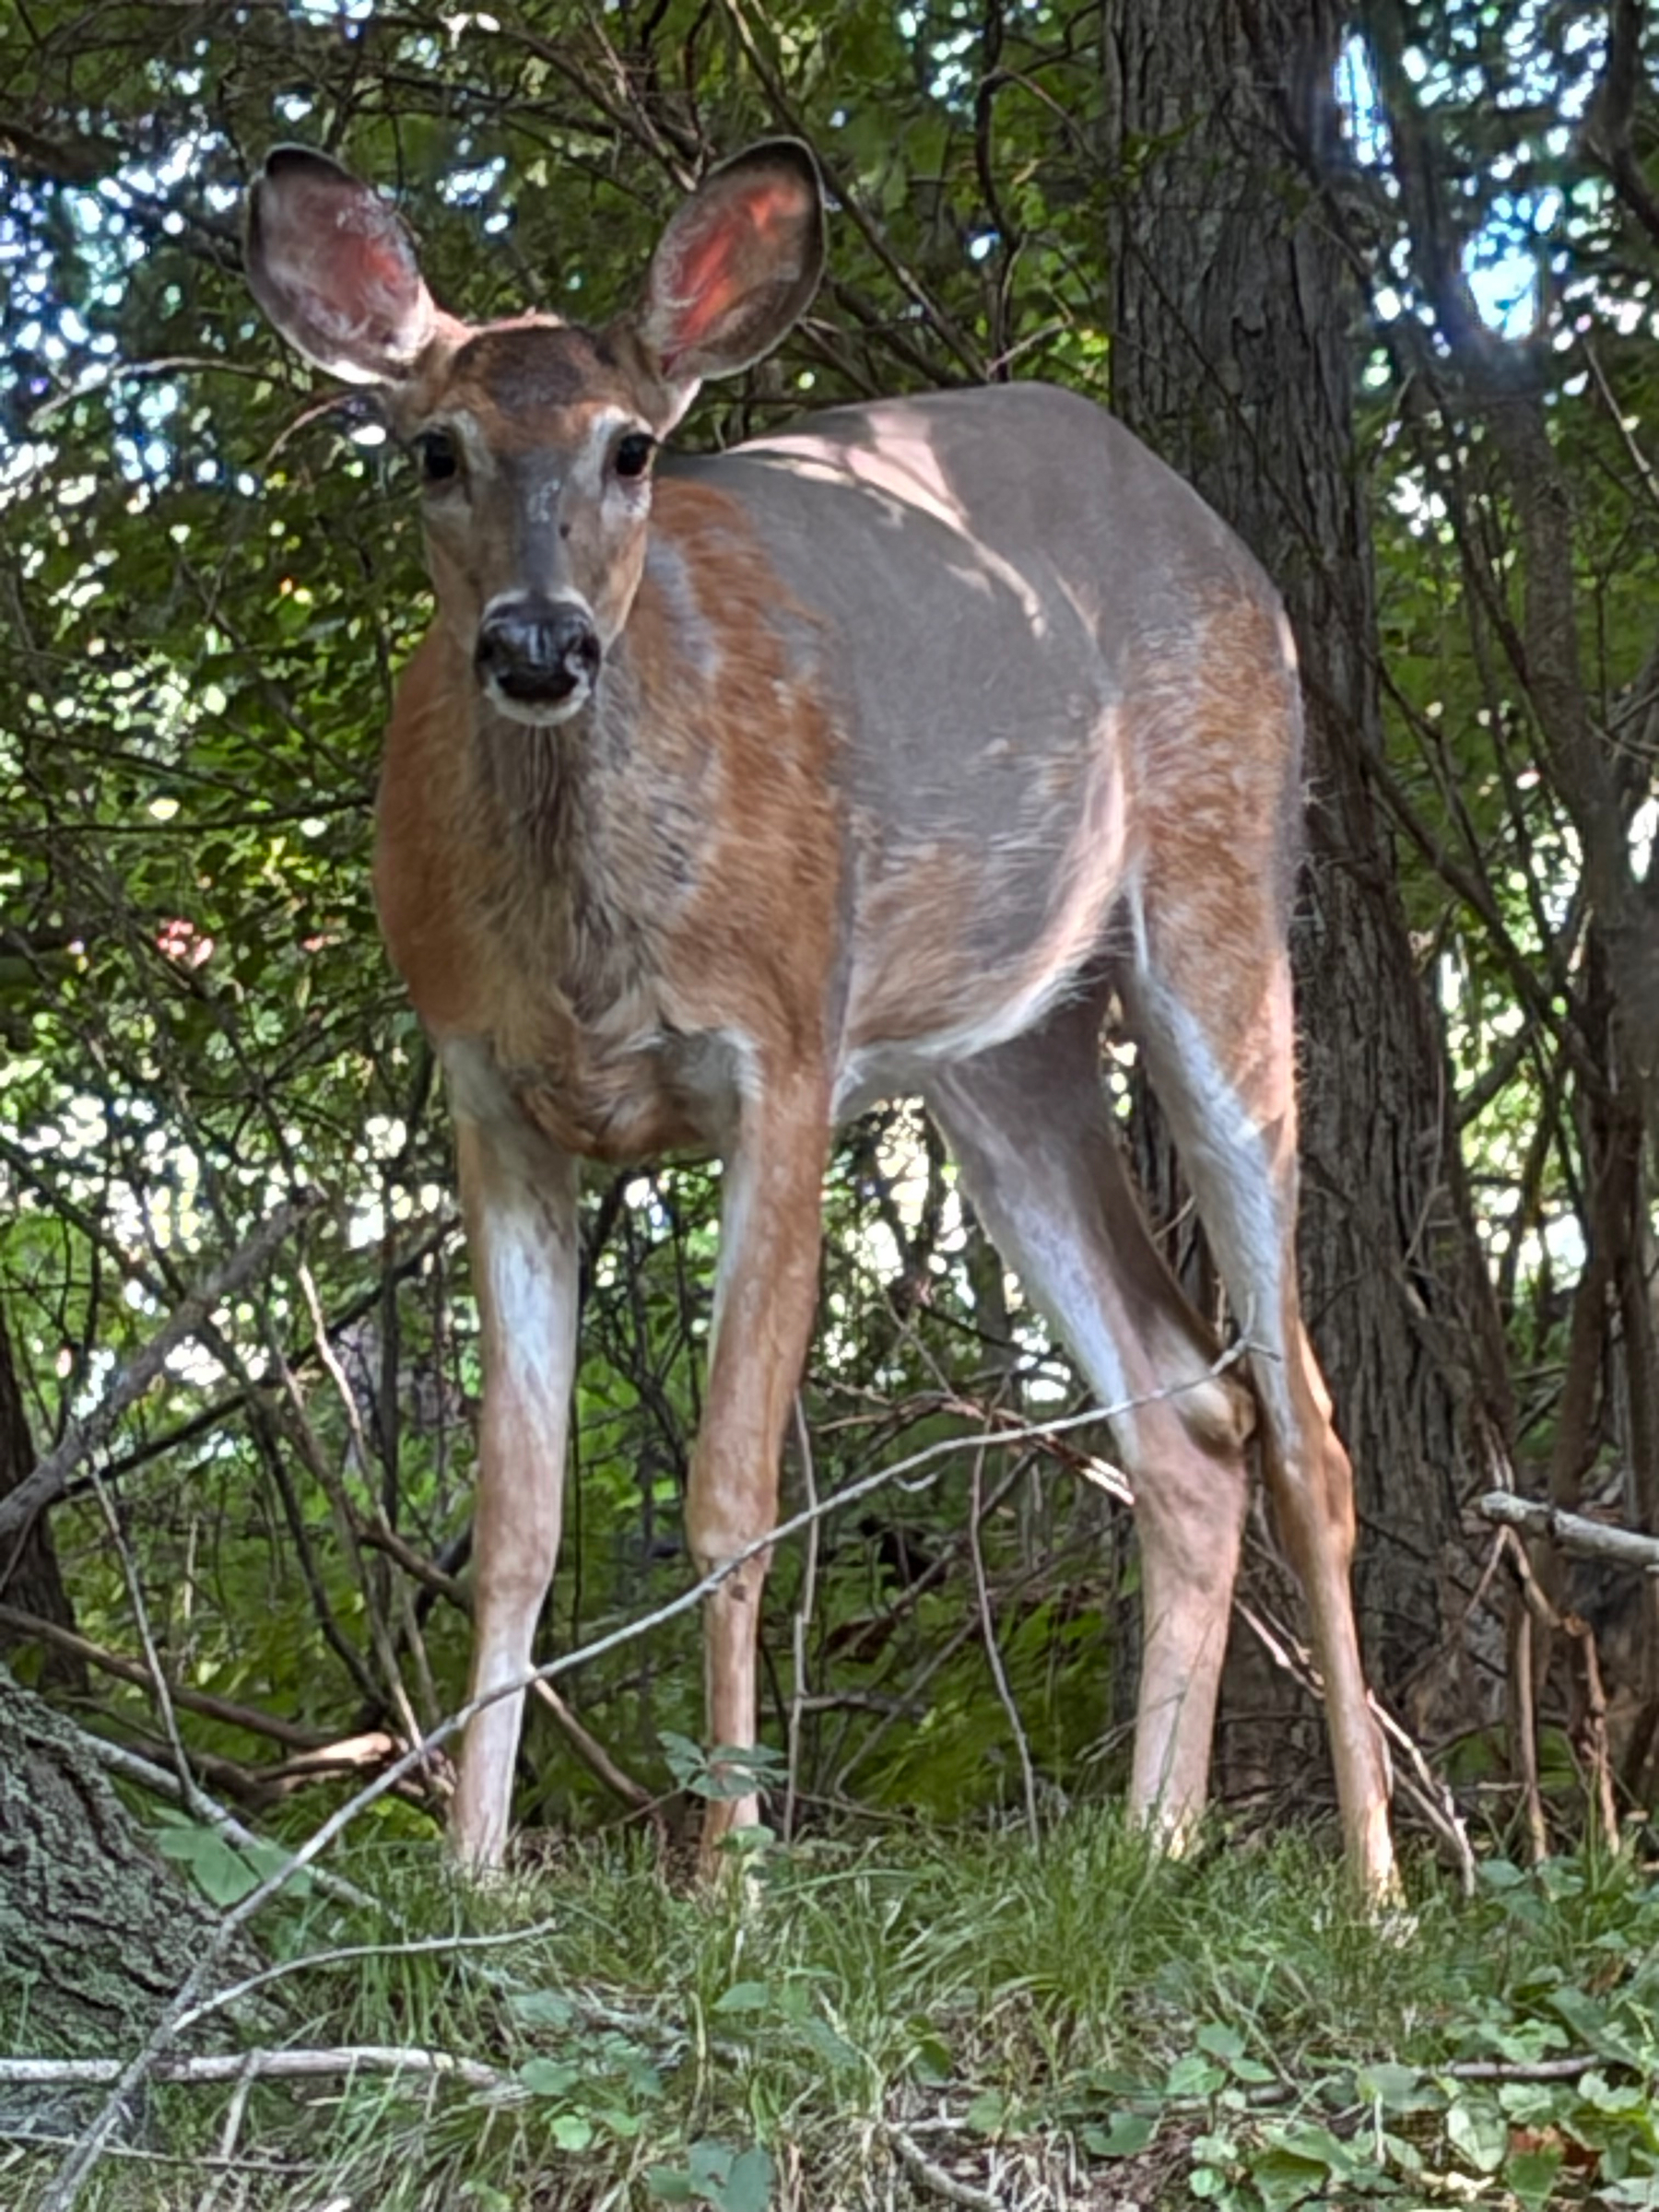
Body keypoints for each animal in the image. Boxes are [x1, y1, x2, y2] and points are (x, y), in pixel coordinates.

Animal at [245, 137, 1396, 1901]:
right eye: (434, 448)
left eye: (632, 446)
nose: (537, 641)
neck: (587, 943)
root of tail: (1210, 531)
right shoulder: (486, 1093)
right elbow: (516, 1514)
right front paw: (472, 1869)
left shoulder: (783, 1050)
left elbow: (732, 1488)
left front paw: (732, 1879)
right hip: (1004, 1055)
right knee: (1184, 1413)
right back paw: (1150, 1847)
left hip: (1218, 899)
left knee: (1305, 1426)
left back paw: (1382, 1889)